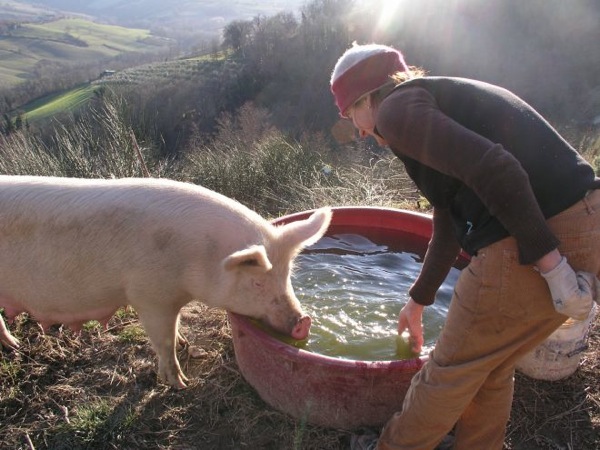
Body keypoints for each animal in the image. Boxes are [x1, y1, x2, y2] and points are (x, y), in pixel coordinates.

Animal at [0, 175, 332, 386]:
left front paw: (186, 343)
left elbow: (176, 328)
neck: (198, 257)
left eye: (287, 277)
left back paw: (14, 347)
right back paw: (15, 346)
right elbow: (163, 340)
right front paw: (182, 384)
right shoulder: (149, 296)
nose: (304, 321)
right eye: (258, 283)